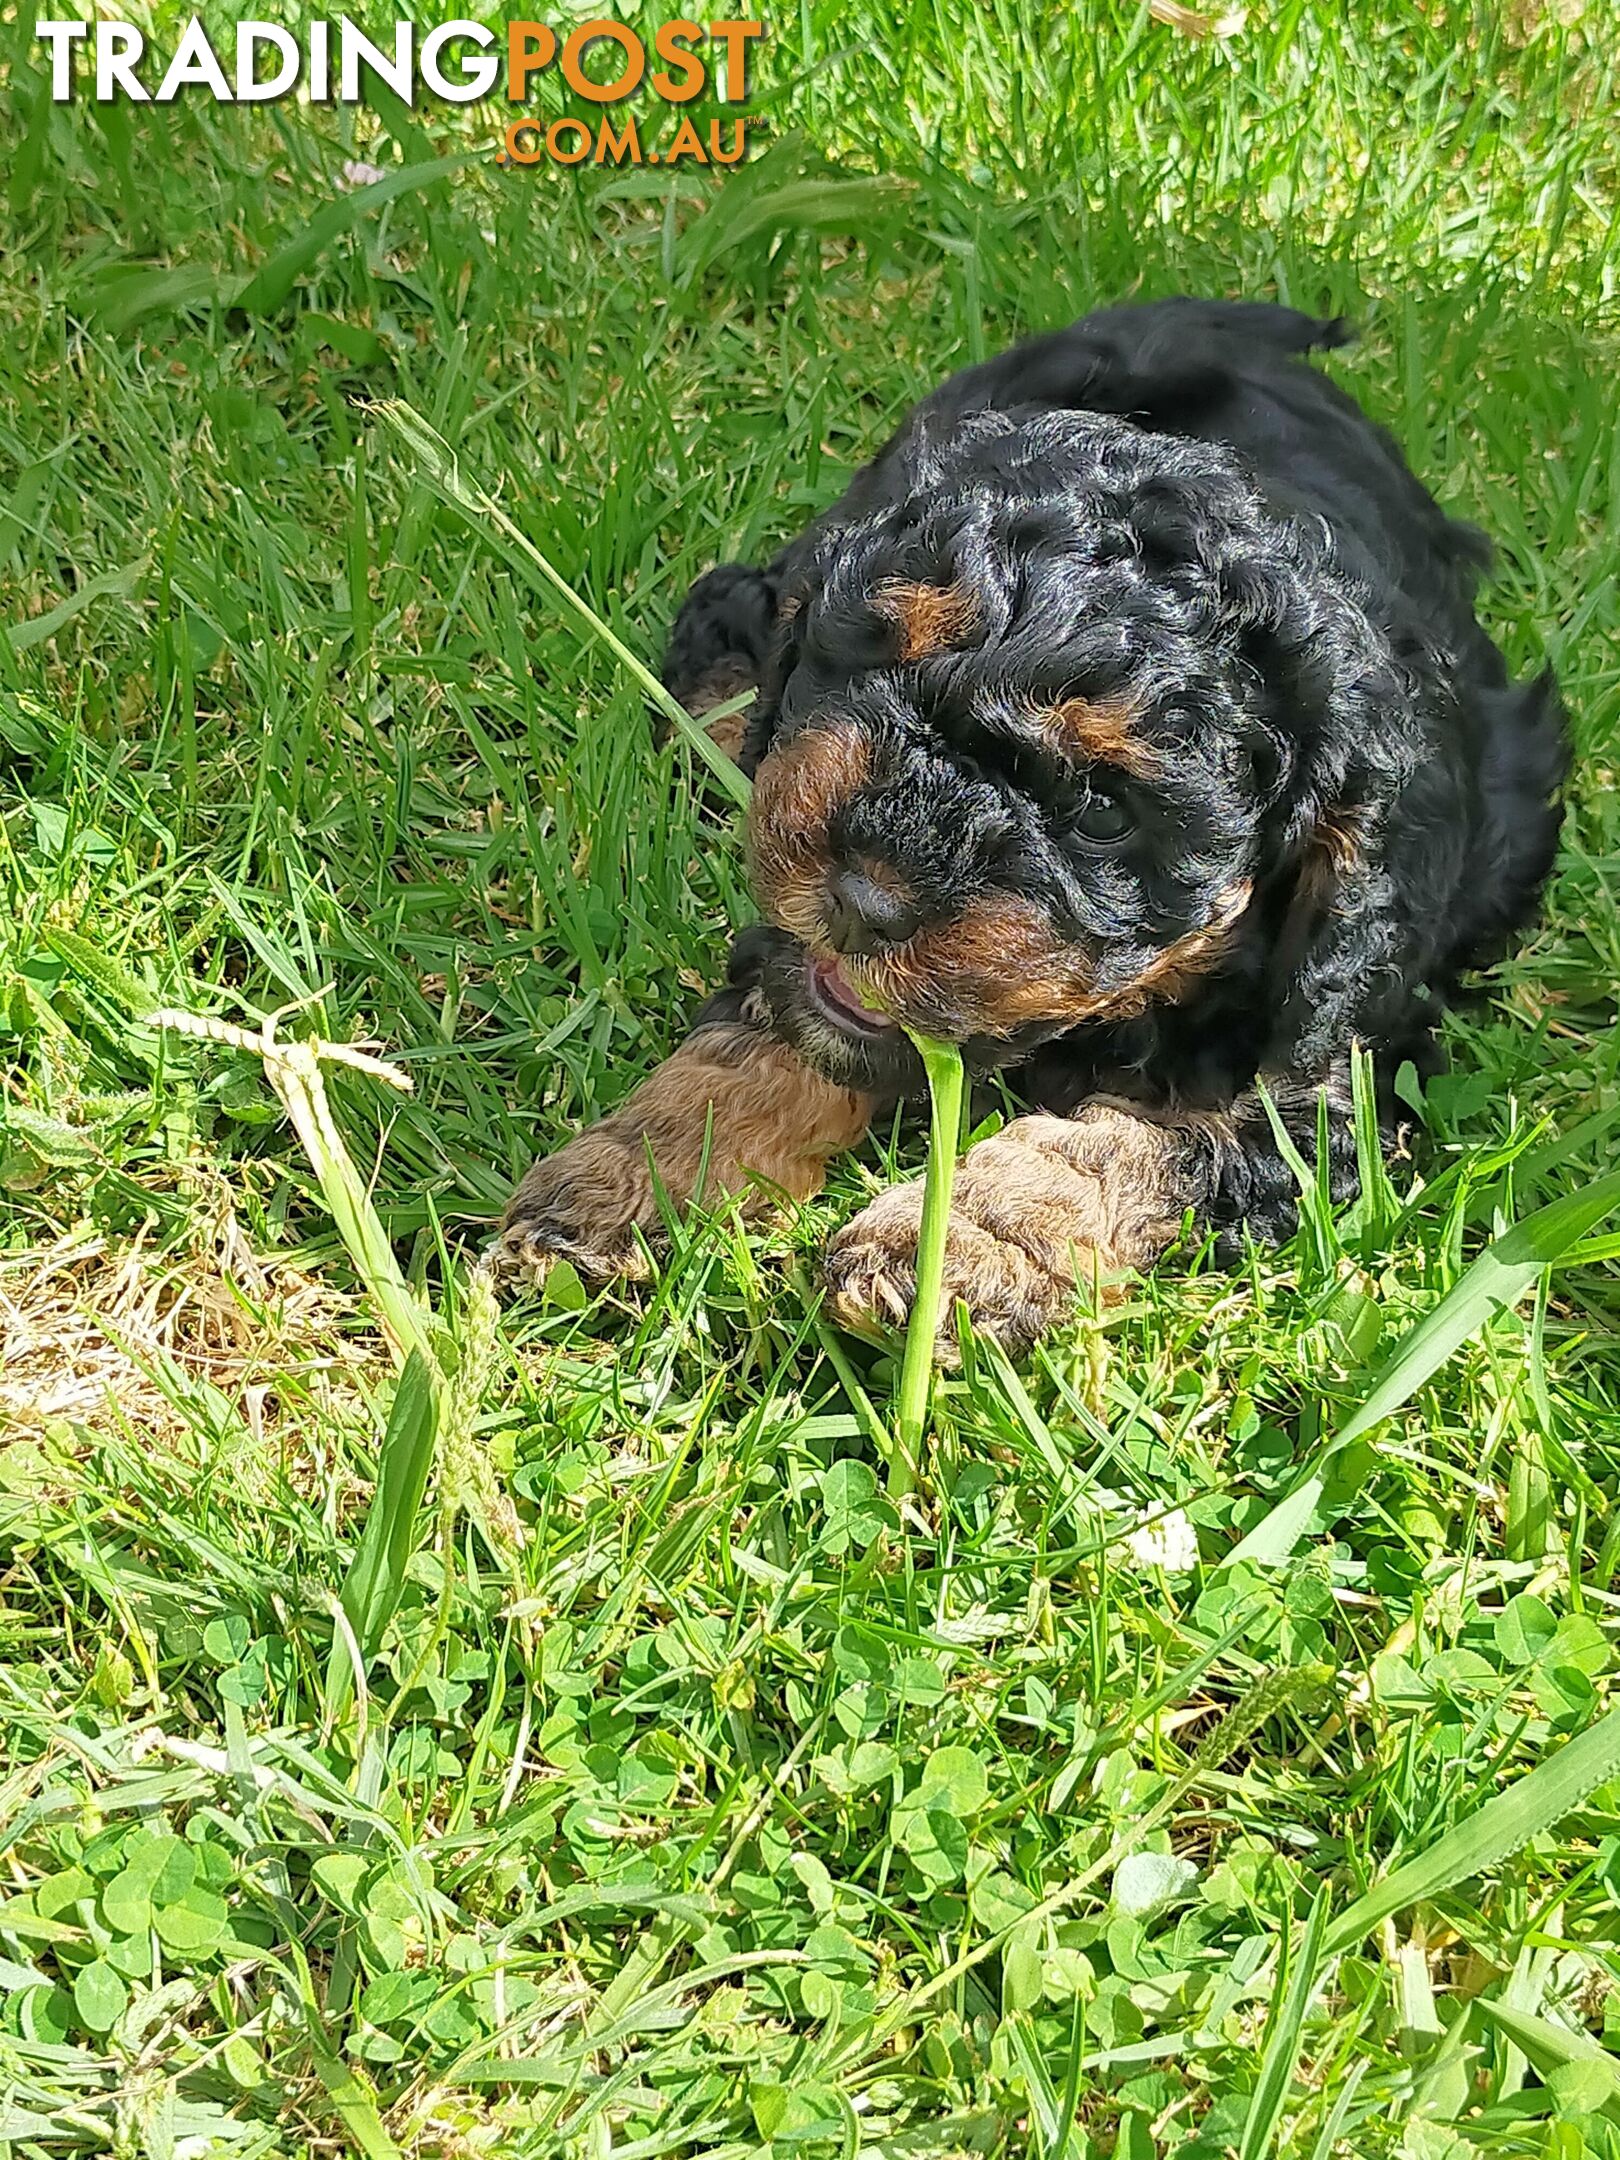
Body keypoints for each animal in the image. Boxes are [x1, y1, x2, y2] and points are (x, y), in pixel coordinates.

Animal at [501, 304, 1563, 1347]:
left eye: (1102, 809)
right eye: (874, 662)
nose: (862, 899)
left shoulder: (1324, 1077)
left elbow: (1137, 1140)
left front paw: (961, 1242)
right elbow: (777, 1025)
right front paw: (626, 1177)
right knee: (743, 591)